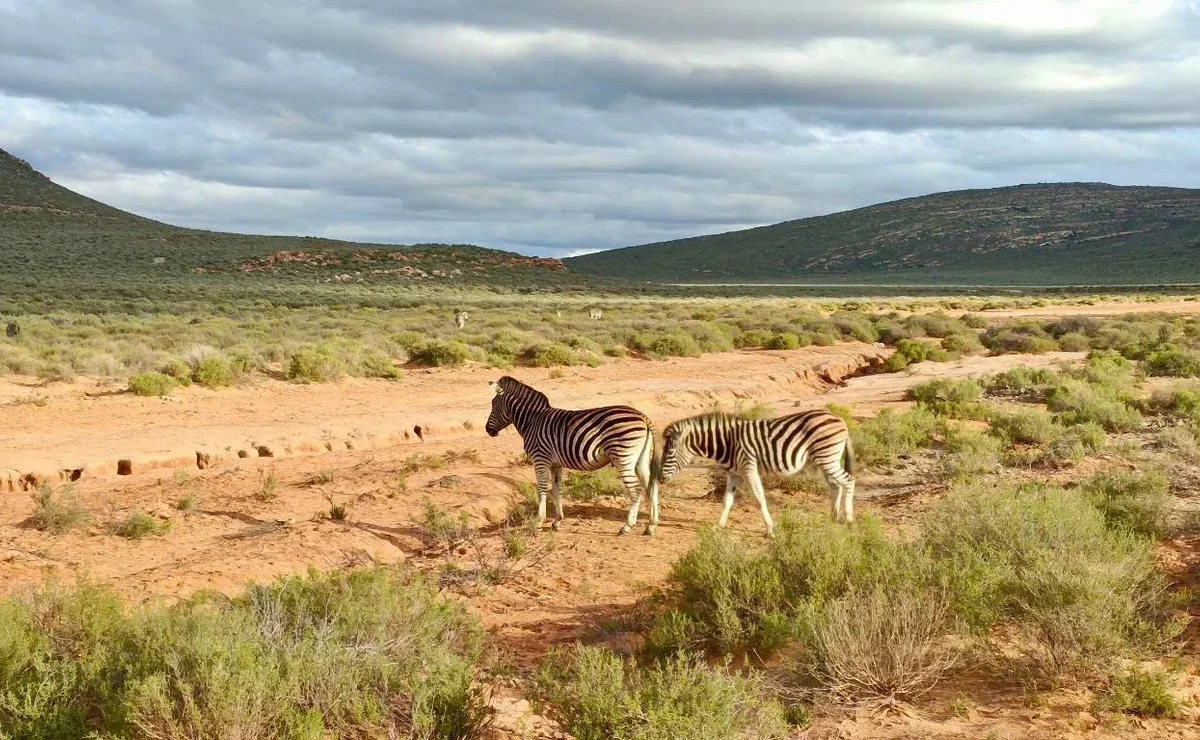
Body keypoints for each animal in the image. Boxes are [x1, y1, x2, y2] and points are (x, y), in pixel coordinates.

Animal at [482, 378, 662, 534]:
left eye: (493, 404)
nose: (487, 430)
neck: (532, 421)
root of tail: (643, 417)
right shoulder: (555, 464)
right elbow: (557, 489)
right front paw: (557, 521)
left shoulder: (540, 459)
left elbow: (542, 489)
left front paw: (539, 521)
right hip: (639, 460)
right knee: (651, 486)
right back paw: (651, 526)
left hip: (623, 457)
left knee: (636, 489)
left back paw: (627, 526)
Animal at [657, 407, 854, 534]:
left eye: (670, 453)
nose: (659, 479)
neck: (727, 442)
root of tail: (840, 419)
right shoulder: (733, 473)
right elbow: (727, 501)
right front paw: (718, 526)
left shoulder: (749, 468)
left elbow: (760, 498)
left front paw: (769, 528)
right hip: (825, 460)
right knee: (836, 486)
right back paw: (833, 518)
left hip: (827, 457)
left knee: (848, 480)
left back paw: (849, 519)